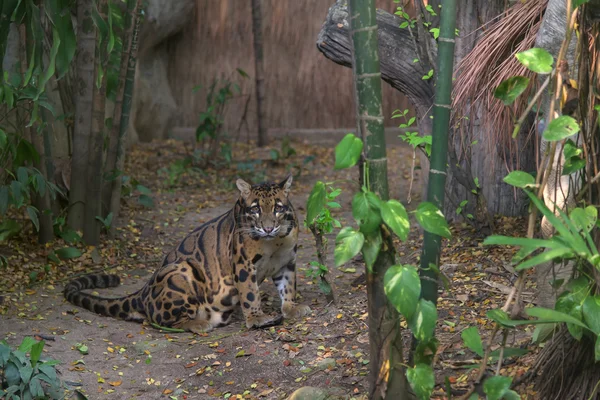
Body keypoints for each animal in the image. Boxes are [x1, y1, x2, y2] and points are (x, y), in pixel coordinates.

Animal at [63, 177, 312, 332]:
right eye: (256, 209)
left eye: (278, 208)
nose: (268, 228)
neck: (274, 243)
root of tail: (143, 291)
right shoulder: (243, 263)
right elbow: (250, 293)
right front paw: (256, 318)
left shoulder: (287, 261)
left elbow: (288, 286)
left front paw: (292, 308)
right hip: (181, 271)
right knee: (162, 321)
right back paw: (198, 324)